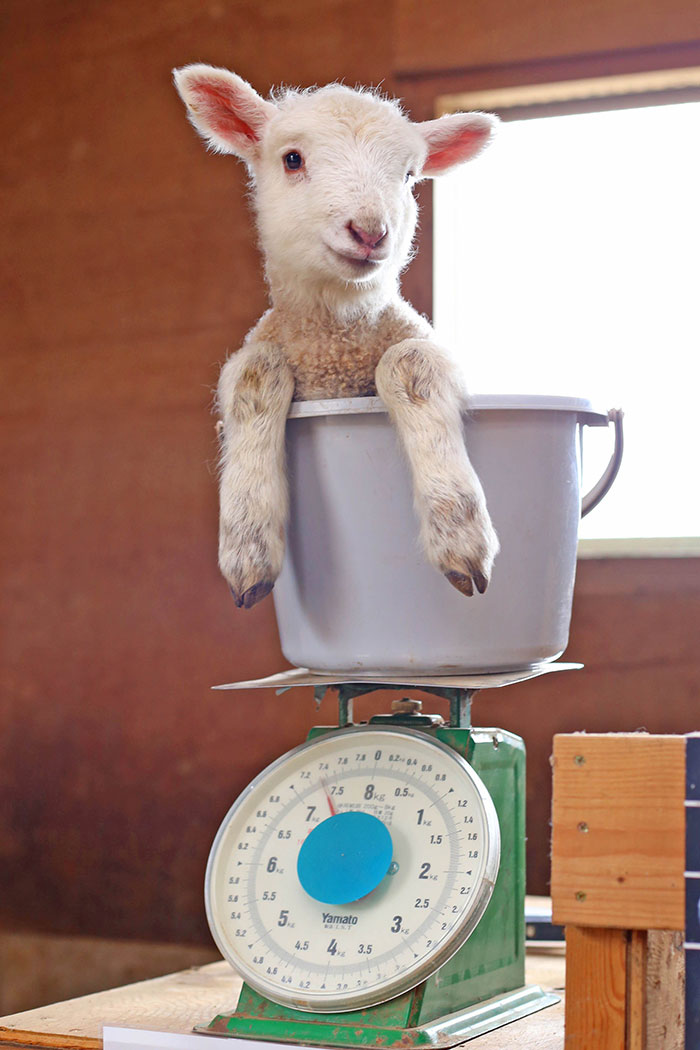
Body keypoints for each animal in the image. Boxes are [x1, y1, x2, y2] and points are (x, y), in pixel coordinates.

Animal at [175, 63, 503, 609]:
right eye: (292, 159)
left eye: (409, 175)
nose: (370, 231)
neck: (335, 344)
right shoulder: (262, 350)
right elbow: (255, 373)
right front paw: (247, 545)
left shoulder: (425, 347)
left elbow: (408, 363)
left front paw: (460, 534)